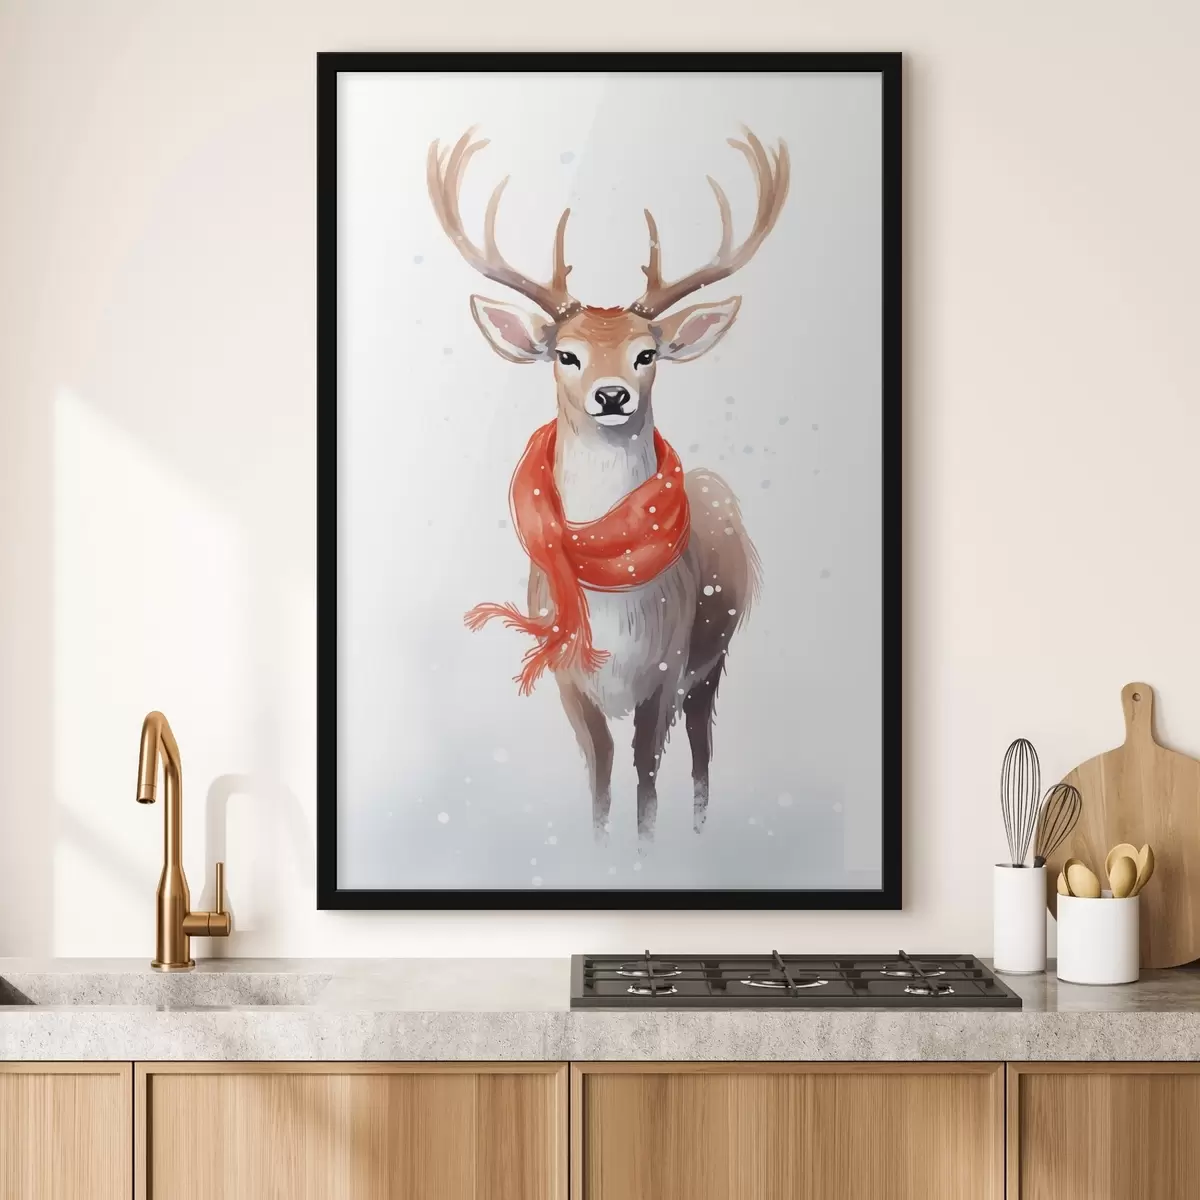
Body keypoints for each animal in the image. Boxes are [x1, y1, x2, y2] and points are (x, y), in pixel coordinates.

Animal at [427, 127, 790, 839]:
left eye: (646, 353)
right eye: (566, 354)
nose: (613, 395)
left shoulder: (667, 668)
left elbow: (647, 781)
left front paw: (644, 853)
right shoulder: (569, 678)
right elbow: (599, 778)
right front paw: (597, 849)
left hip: (715, 655)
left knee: (704, 751)